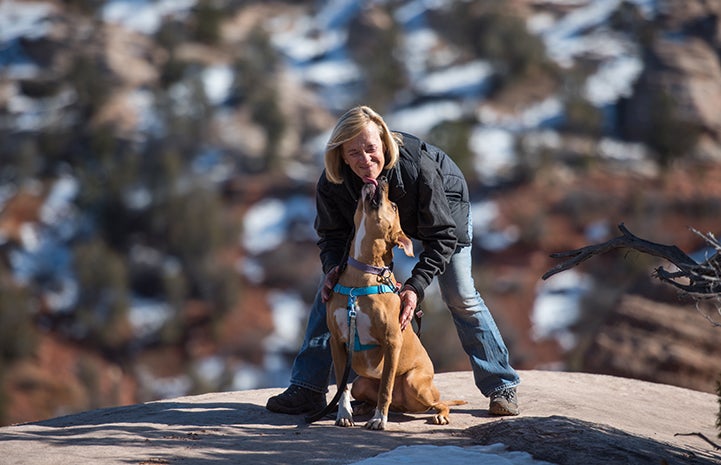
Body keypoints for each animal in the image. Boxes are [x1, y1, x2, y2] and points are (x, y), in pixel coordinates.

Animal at [324, 177, 462, 428]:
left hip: (414, 383)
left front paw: (380, 419)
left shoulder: (392, 342)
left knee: (438, 403)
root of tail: (403, 405)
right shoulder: (336, 341)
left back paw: (440, 415)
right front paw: (344, 414)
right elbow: (341, 387)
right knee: (361, 390)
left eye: (395, 206)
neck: (363, 272)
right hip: (362, 382)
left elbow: (386, 387)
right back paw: (362, 408)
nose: (382, 179)